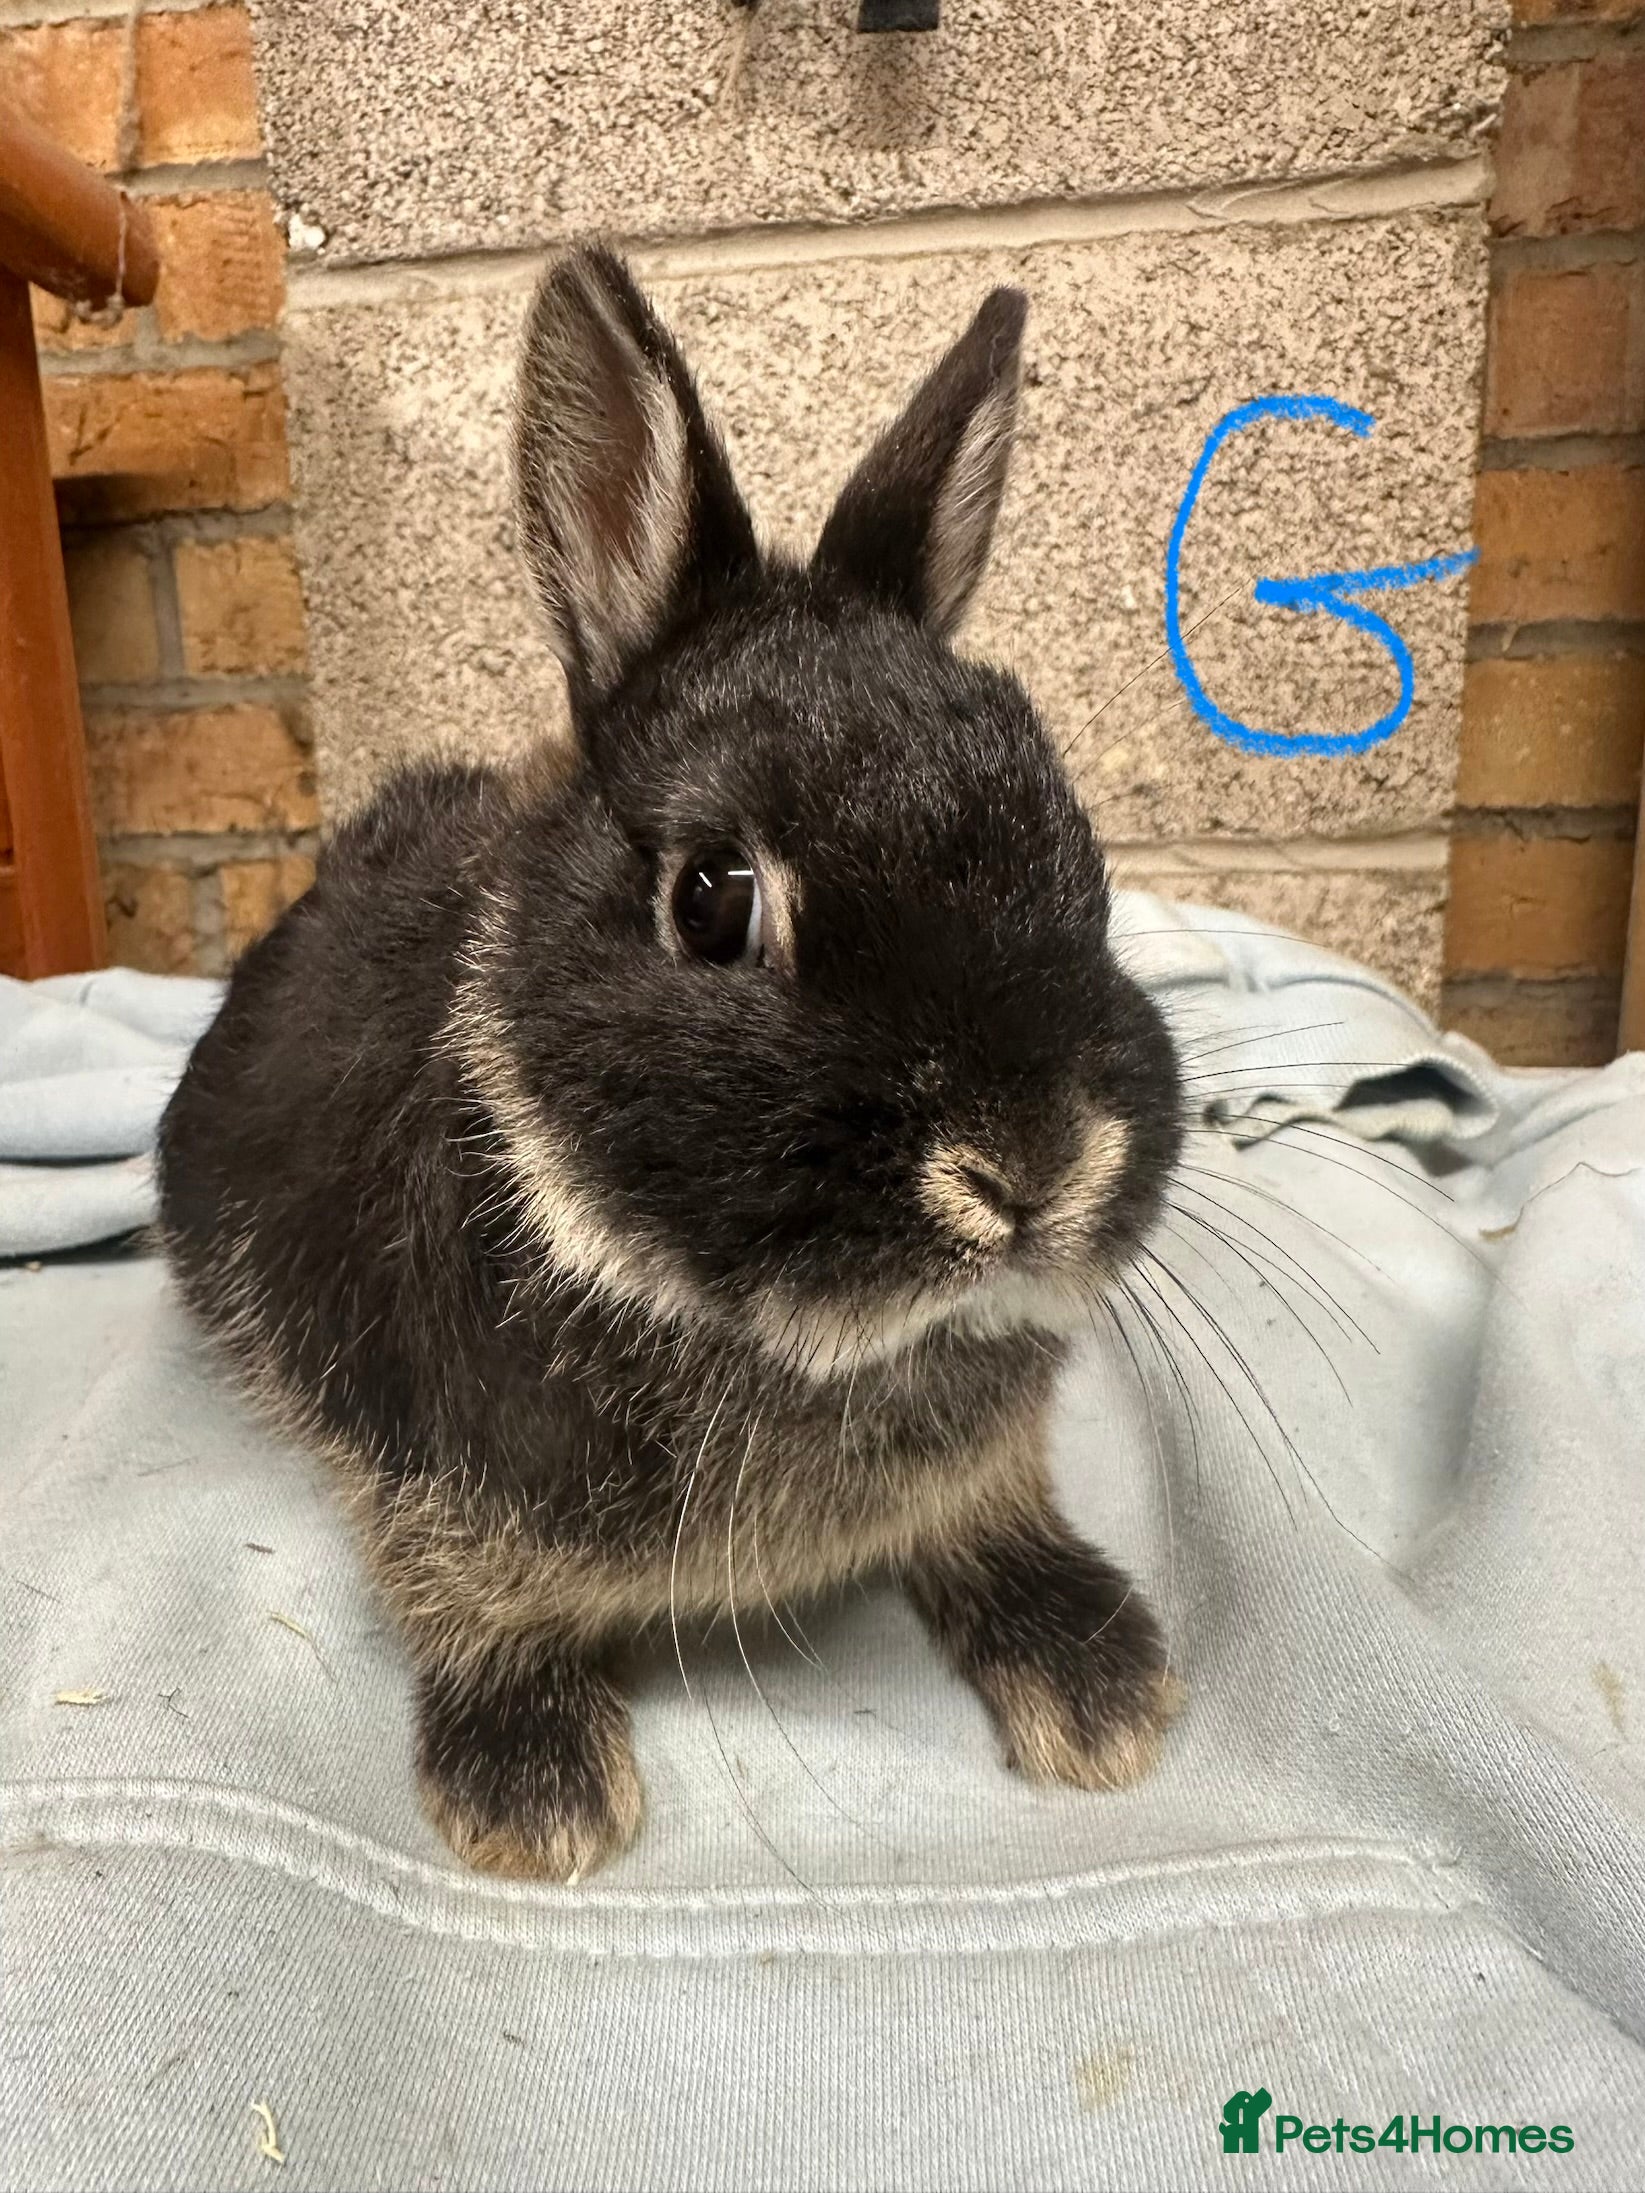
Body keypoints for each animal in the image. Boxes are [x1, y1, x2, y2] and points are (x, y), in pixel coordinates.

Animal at [158, 246, 1185, 1882]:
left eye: (1077, 849)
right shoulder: (423, 1471)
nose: (1030, 1168)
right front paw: (533, 1800)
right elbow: (471, 1600)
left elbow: (995, 1511)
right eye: (712, 899)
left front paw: (1101, 1693)